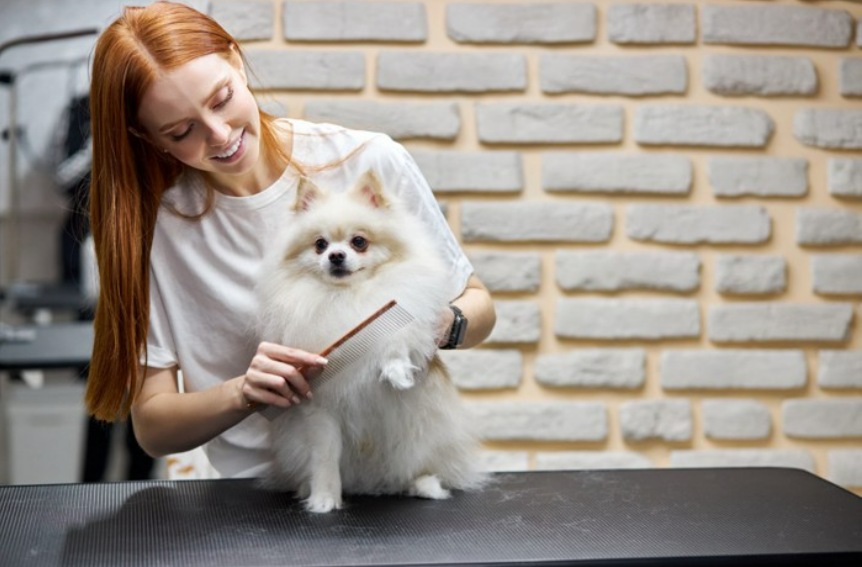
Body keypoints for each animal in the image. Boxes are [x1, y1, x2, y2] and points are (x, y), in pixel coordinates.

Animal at [255, 169, 486, 516]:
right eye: (320, 244)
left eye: (359, 242)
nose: (336, 255)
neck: (348, 296)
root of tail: (374, 481)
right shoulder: (321, 414)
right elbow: (324, 459)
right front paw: (324, 498)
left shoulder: (397, 313)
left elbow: (396, 342)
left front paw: (397, 372)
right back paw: (307, 488)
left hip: (420, 435)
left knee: (415, 466)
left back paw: (425, 485)